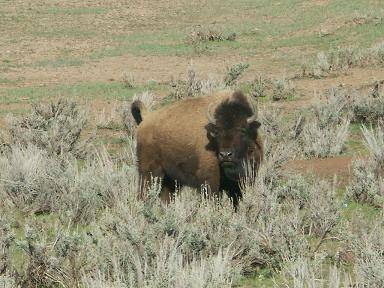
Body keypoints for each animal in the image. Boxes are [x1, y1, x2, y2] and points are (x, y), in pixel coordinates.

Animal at [130, 90, 262, 205]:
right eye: (217, 132)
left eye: (243, 130)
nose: (226, 155)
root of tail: (146, 119)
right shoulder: (210, 182)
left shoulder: (239, 184)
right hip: (149, 173)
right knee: (143, 194)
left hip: (170, 179)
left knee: (165, 198)